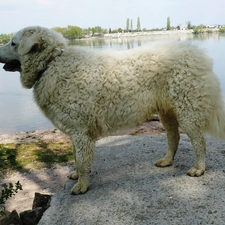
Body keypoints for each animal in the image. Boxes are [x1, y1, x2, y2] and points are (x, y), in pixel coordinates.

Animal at [0, 26, 225, 195]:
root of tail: (197, 52)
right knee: (174, 136)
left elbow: (83, 161)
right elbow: (76, 157)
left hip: (188, 111)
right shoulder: (76, 131)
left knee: (199, 141)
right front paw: (75, 175)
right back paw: (167, 160)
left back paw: (199, 168)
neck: (50, 64)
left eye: (13, 43)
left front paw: (82, 185)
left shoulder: (80, 132)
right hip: (167, 112)